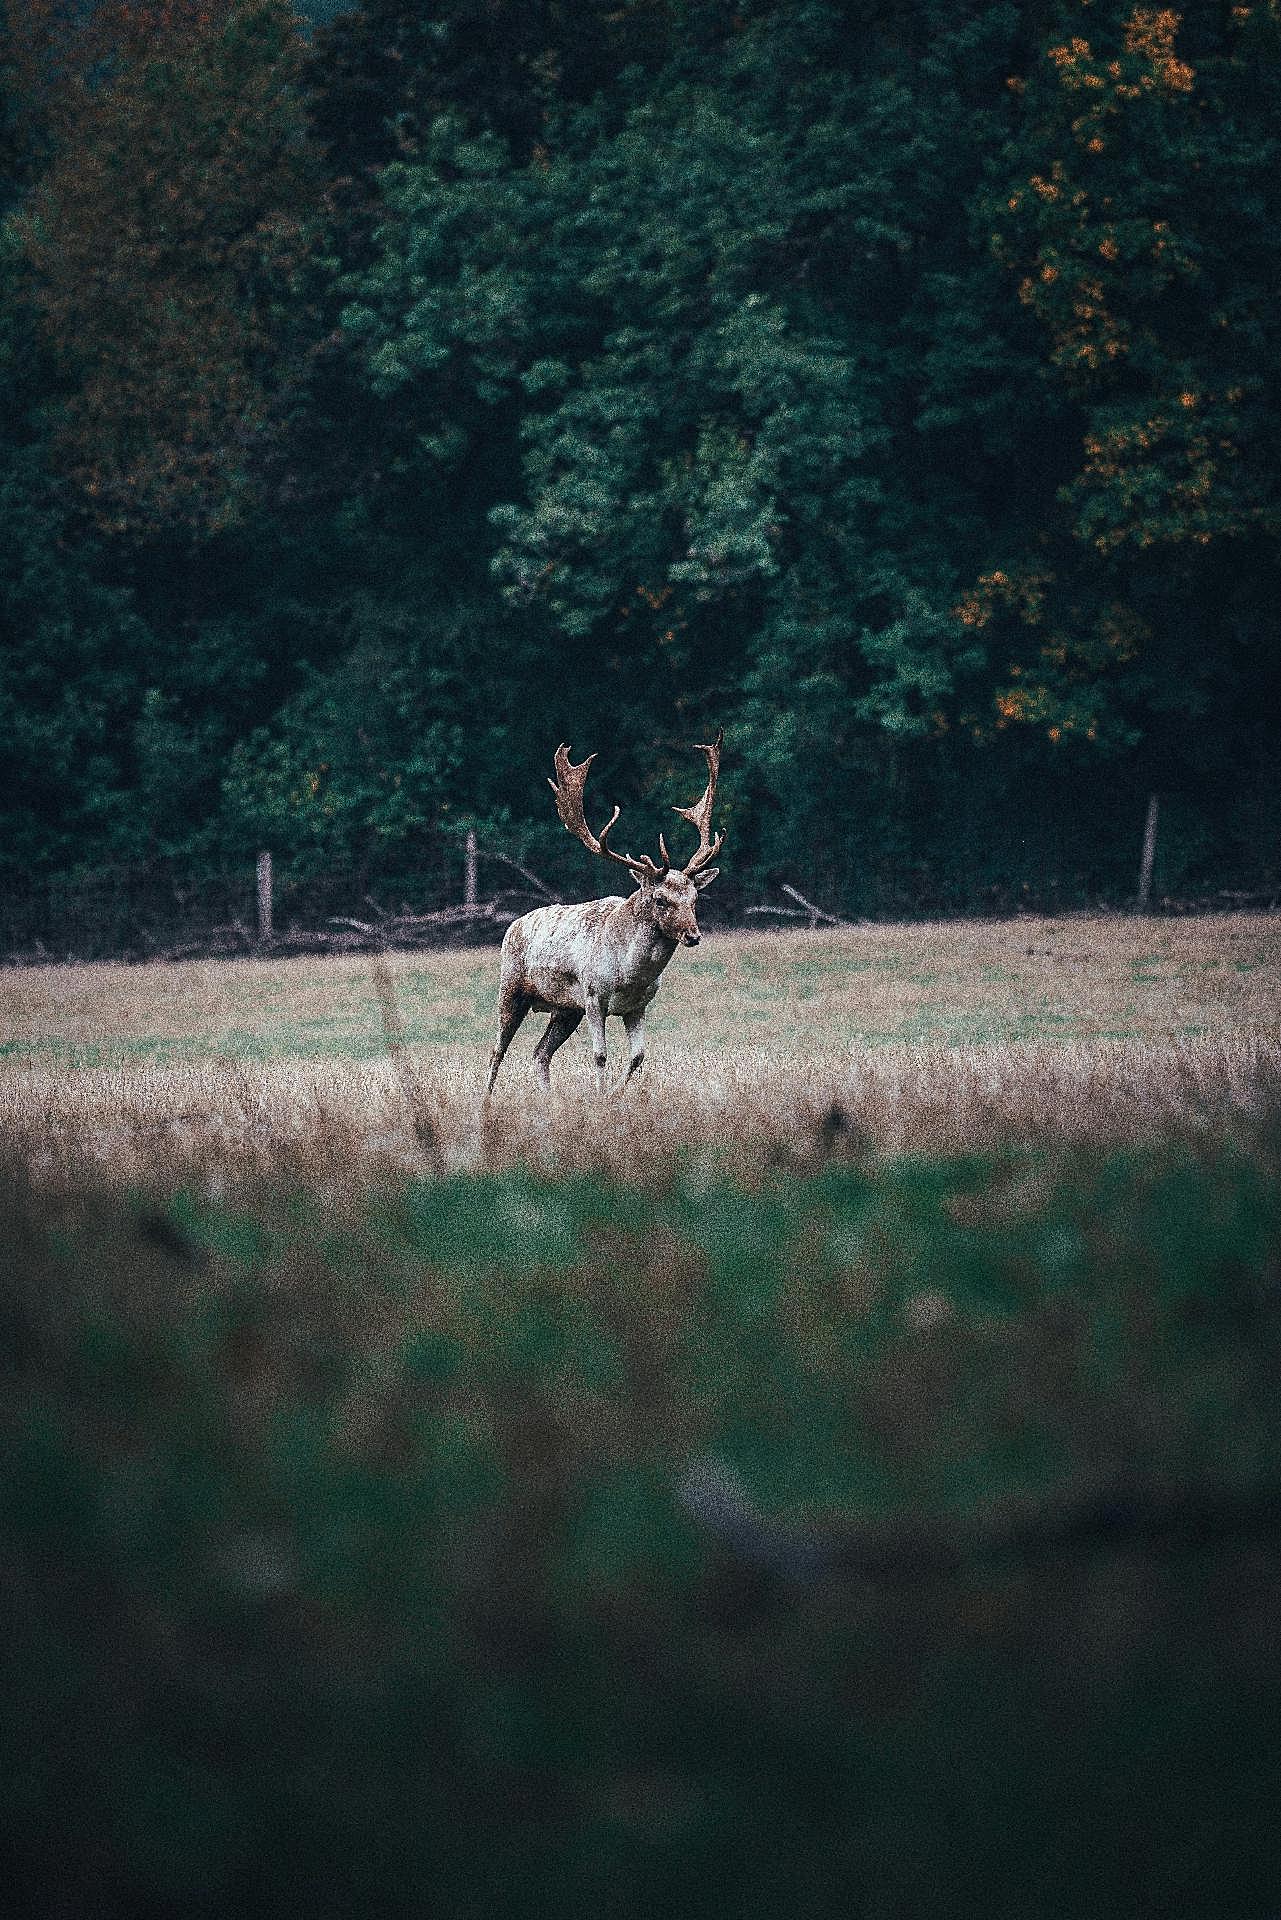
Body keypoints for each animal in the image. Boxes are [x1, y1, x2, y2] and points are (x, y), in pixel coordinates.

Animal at [483, 729, 725, 1098]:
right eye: (660, 899)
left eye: (695, 898)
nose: (693, 935)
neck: (629, 974)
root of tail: (513, 926)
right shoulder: (594, 995)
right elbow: (600, 1055)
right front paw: (600, 1098)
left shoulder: (638, 1005)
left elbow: (638, 1056)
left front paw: (614, 1097)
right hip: (511, 988)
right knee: (497, 1050)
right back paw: (484, 1101)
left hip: (565, 1010)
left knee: (540, 1052)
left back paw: (550, 1102)